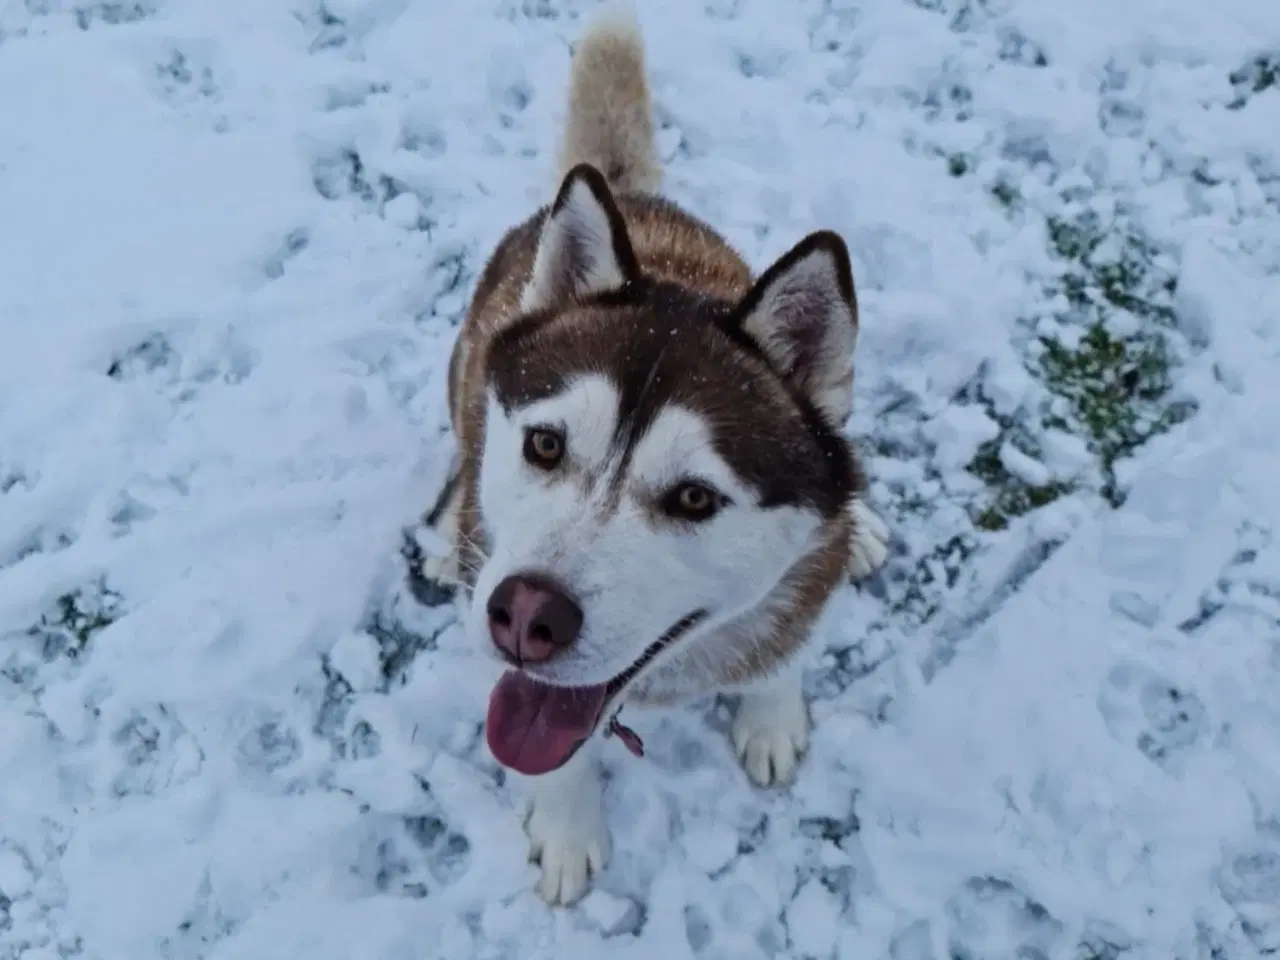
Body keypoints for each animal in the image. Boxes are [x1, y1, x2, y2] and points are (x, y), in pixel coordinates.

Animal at [419, 5, 890, 911]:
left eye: (696, 499)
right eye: (544, 444)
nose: (524, 615)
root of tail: (626, 193)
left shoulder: (802, 580)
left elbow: (787, 644)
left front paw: (771, 713)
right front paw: (569, 829)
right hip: (464, 363)